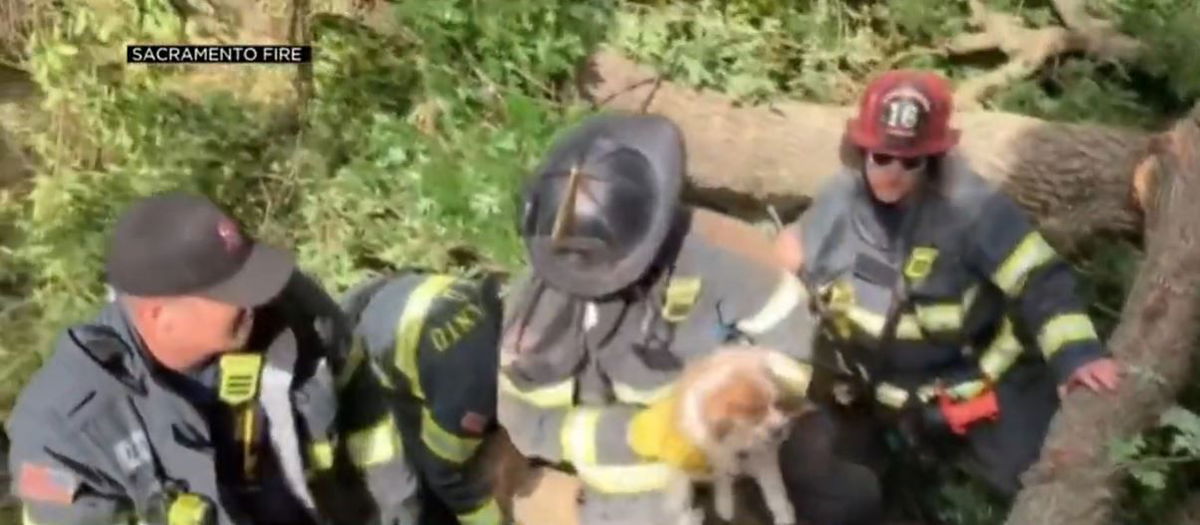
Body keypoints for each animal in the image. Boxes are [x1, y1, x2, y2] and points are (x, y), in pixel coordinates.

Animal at [662, 345, 811, 525]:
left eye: (776, 404)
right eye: (755, 416)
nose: (780, 429)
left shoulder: (764, 460)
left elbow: (775, 493)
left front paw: (784, 515)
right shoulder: (718, 457)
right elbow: (723, 480)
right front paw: (724, 506)